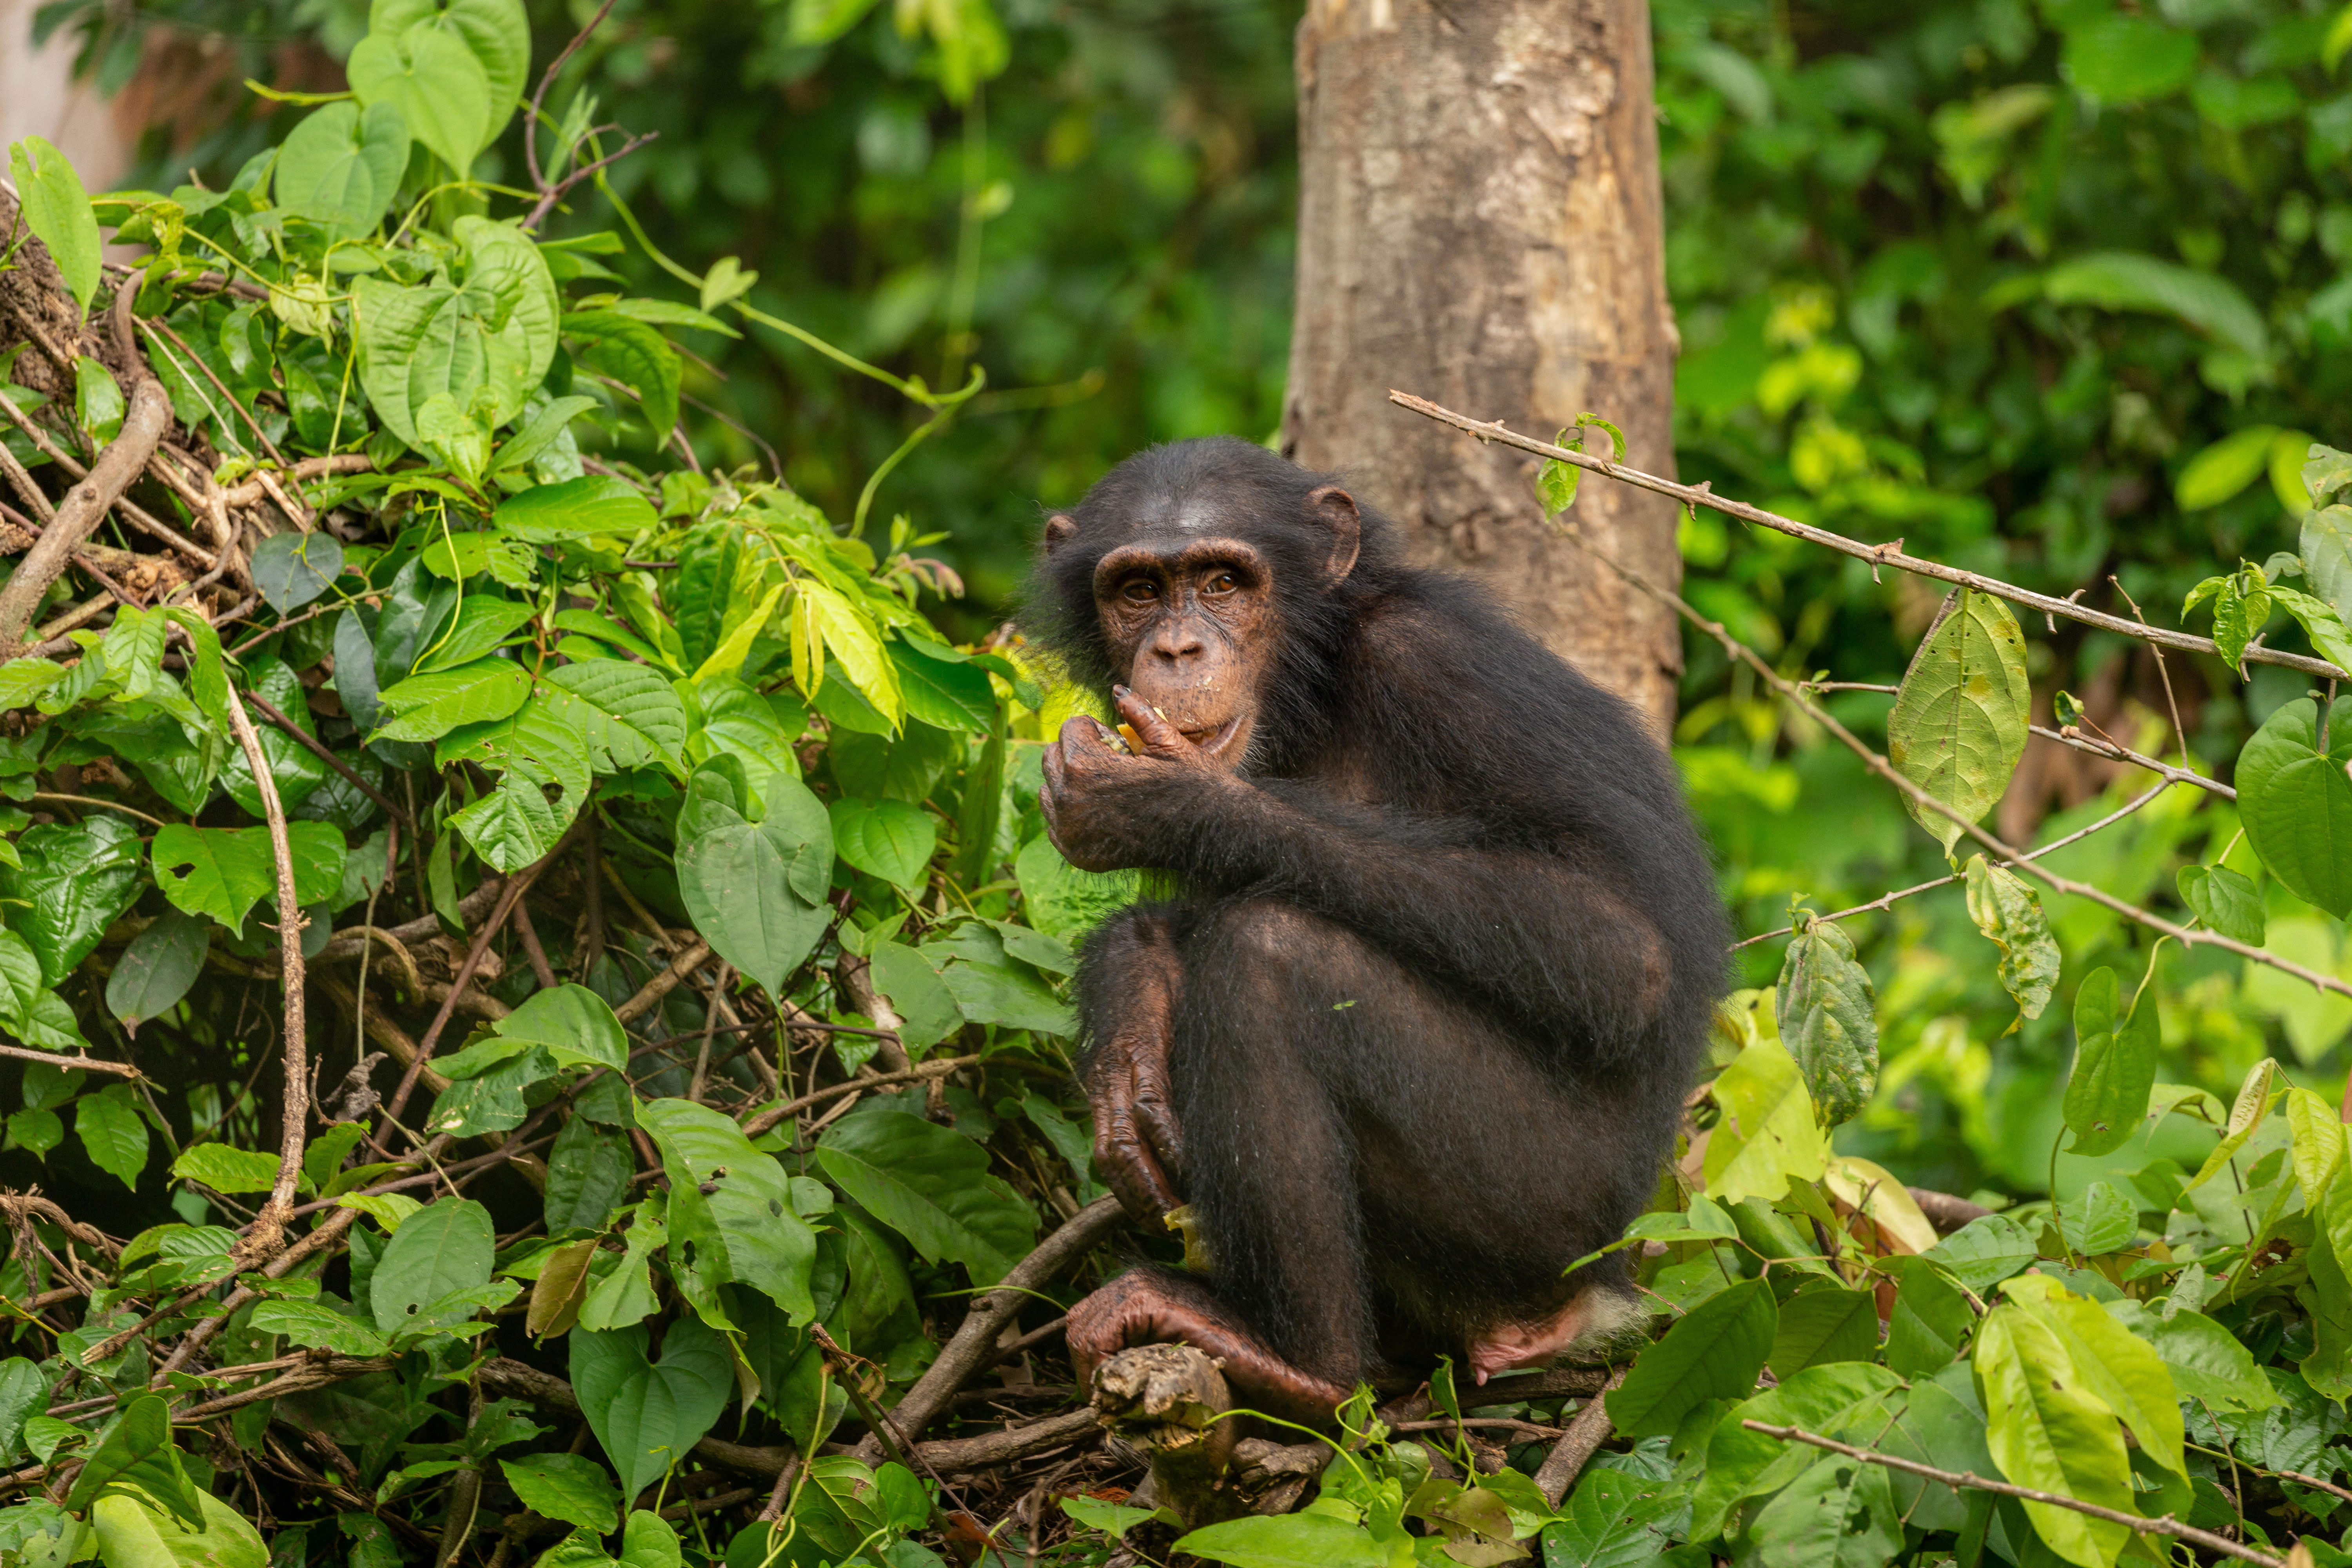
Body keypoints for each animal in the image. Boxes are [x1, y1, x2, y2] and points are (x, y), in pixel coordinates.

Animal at [1030, 435, 1731, 1429]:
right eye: (1136, 589)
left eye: (1220, 581)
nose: (1176, 645)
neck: (1313, 686)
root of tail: (1599, 1297)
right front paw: (1132, 1004)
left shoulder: (1440, 665)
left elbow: (1617, 939)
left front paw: (1165, 799)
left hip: (1537, 1202)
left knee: (1270, 957)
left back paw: (1304, 1365)